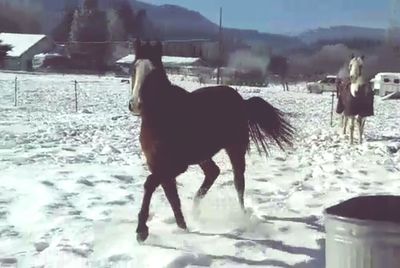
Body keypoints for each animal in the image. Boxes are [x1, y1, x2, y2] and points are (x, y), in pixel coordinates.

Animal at [128, 39, 294, 243]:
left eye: (154, 73)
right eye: (133, 69)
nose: (135, 105)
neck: (162, 118)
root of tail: (241, 100)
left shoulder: (176, 165)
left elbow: (150, 184)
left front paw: (141, 230)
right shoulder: (157, 164)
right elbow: (170, 194)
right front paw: (182, 226)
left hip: (235, 148)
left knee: (238, 182)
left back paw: (241, 215)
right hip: (203, 154)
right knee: (213, 172)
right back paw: (195, 210)